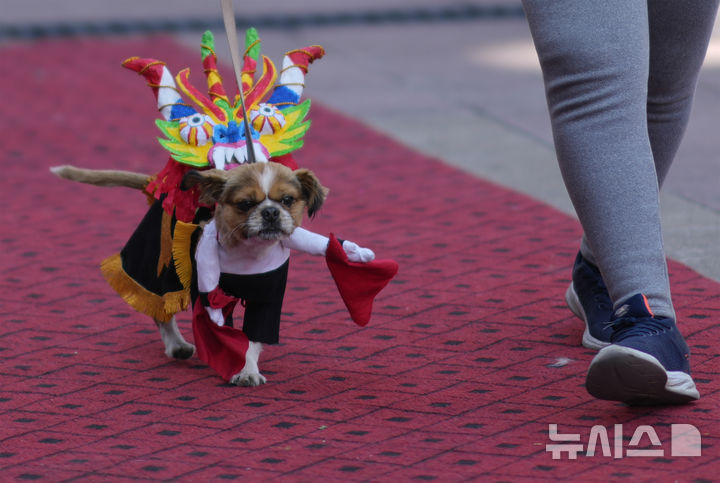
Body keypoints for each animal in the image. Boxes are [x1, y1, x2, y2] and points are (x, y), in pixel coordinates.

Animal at [180, 163, 374, 386]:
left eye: (287, 200)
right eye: (246, 203)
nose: (271, 211)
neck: (250, 254)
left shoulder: (269, 298)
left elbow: (253, 338)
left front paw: (248, 370)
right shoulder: (214, 298)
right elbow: (227, 336)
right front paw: (239, 369)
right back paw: (176, 346)